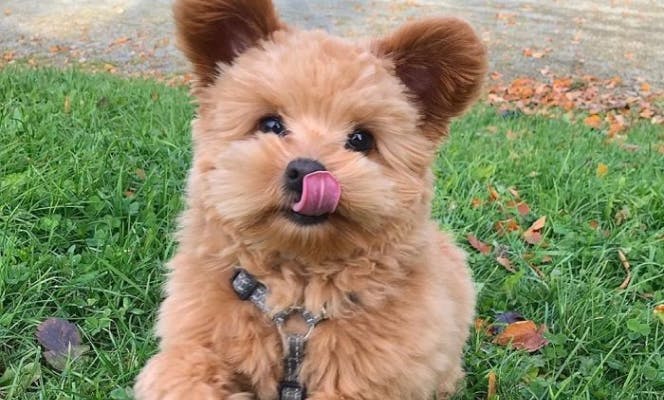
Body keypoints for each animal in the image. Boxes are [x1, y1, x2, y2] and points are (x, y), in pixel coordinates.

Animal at [136, 1, 488, 398]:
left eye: (361, 139)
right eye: (270, 125)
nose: (306, 171)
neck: (297, 299)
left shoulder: (368, 383)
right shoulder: (194, 341)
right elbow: (182, 372)